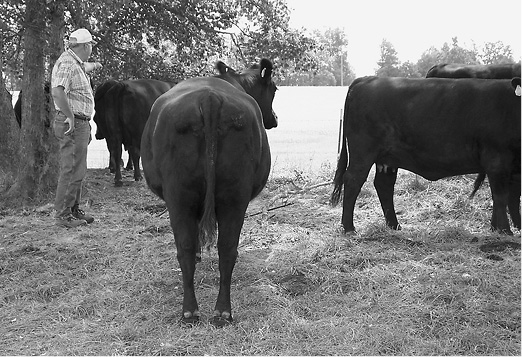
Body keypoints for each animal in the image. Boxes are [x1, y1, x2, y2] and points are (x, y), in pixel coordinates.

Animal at [138, 59, 276, 326]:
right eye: (274, 90)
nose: (274, 118)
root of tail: (209, 97)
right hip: (234, 195)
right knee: (226, 248)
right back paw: (220, 311)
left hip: (180, 196)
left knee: (187, 248)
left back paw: (193, 311)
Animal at [332, 76, 516, 234]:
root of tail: (368, 78)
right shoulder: (497, 159)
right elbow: (501, 196)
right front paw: (505, 230)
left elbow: (506, 197)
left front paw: (497, 227)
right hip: (363, 152)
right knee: (353, 180)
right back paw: (349, 228)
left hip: (387, 158)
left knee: (384, 184)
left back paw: (394, 225)